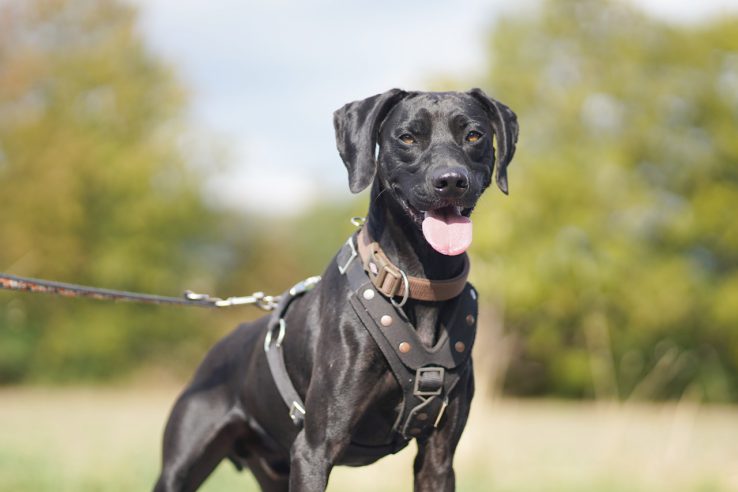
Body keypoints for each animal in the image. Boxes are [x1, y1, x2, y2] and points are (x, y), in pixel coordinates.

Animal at [152, 89, 516, 492]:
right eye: (407, 137)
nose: (450, 180)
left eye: (474, 135)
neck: (420, 283)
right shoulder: (315, 448)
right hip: (180, 467)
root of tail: (216, 352)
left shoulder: (438, 458)